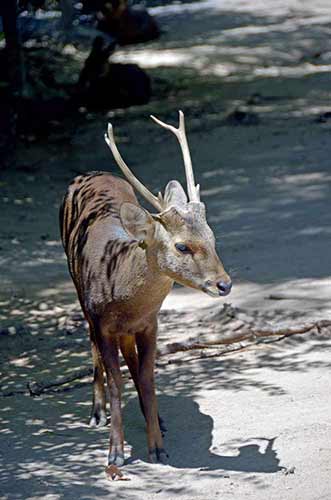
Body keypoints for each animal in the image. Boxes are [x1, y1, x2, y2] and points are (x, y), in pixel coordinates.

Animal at [59, 111, 232, 466]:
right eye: (182, 246)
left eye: (212, 237)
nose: (224, 284)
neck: (123, 296)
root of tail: (89, 173)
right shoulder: (103, 323)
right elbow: (116, 382)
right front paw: (115, 453)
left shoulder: (150, 323)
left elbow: (147, 378)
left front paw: (158, 446)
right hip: (79, 292)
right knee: (91, 345)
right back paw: (96, 414)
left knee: (132, 362)